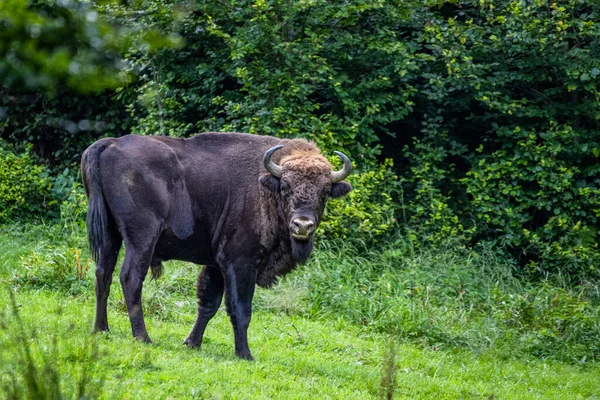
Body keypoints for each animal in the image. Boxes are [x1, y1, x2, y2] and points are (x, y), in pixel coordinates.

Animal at [80, 132, 352, 360]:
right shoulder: (240, 263)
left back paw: (101, 329)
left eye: (325, 191)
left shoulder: (215, 265)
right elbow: (240, 309)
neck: (266, 188)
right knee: (130, 278)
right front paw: (245, 354)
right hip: (141, 238)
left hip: (110, 234)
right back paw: (143, 337)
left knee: (102, 275)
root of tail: (111, 143)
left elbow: (208, 304)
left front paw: (192, 343)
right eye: (285, 187)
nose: (302, 225)